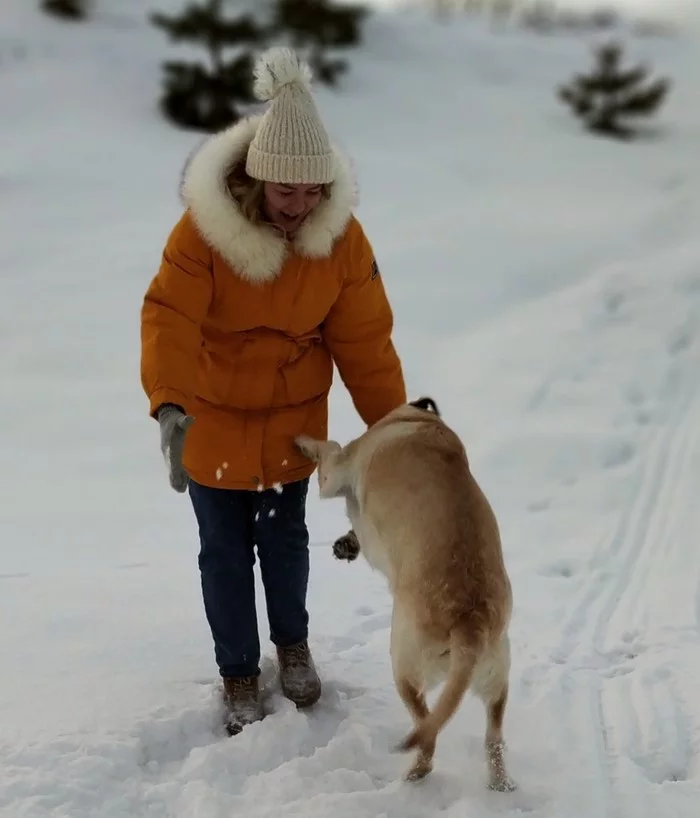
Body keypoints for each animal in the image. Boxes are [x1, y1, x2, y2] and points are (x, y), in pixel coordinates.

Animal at [294, 396, 516, 784]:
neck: (418, 421)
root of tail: (469, 623)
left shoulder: (336, 471)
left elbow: (327, 449)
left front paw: (302, 441)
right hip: (496, 679)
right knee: (492, 738)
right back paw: (500, 784)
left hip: (404, 665)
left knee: (427, 732)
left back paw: (414, 775)